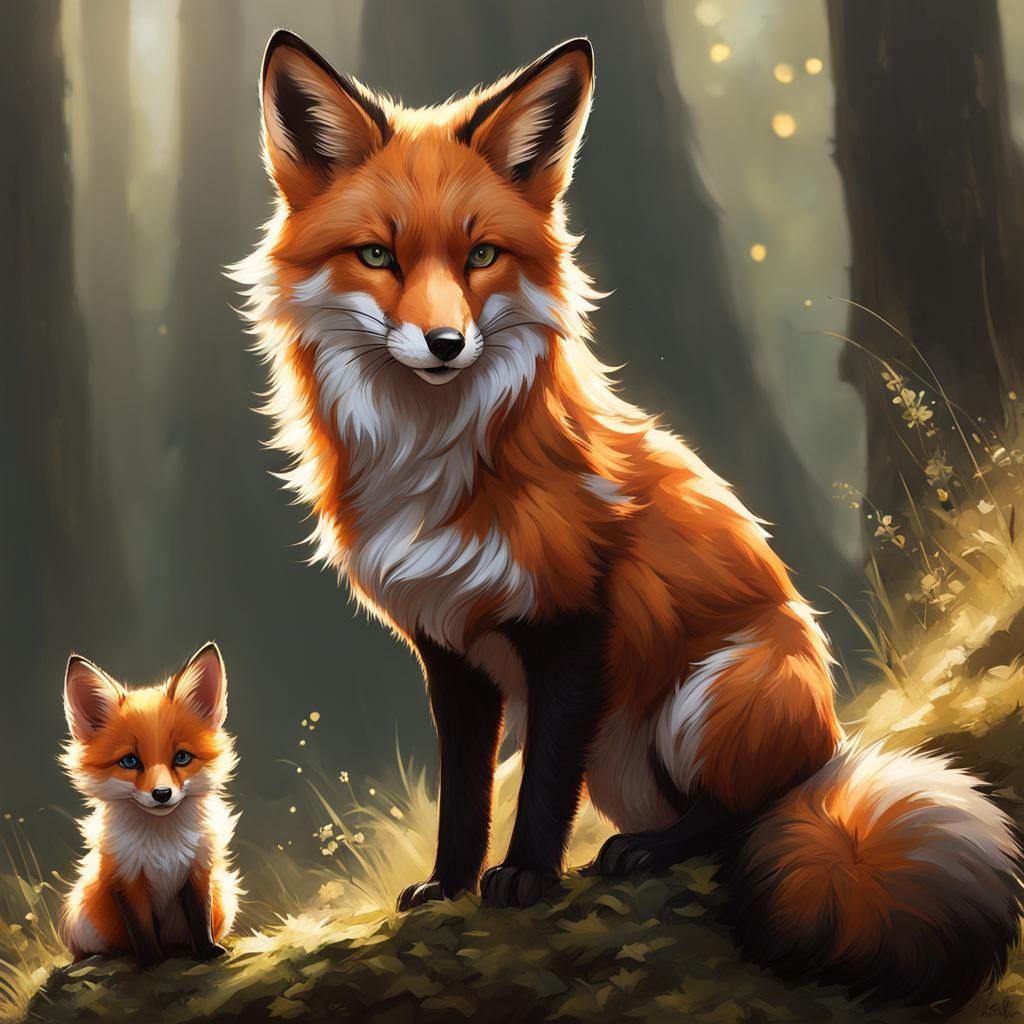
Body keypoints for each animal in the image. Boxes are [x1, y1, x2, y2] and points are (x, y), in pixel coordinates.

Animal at [59, 643, 240, 968]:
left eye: (181, 758)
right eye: (130, 762)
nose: (162, 794)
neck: (162, 844)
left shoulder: (198, 871)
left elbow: (200, 918)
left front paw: (206, 952)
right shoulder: (125, 877)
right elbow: (141, 929)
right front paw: (150, 962)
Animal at [233, 30, 1024, 1008]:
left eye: (481, 256)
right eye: (378, 256)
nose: (446, 344)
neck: (436, 467)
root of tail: (834, 747)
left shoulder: (574, 621)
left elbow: (541, 783)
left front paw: (525, 876)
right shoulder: (451, 650)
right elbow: (465, 794)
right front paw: (450, 883)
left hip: (714, 692)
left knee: (739, 814)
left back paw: (651, 848)